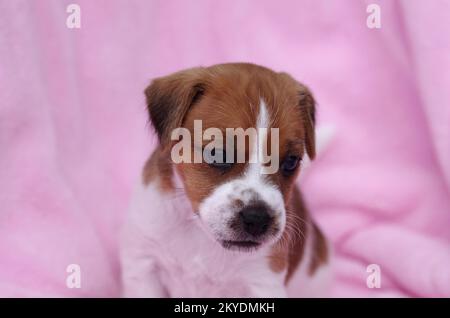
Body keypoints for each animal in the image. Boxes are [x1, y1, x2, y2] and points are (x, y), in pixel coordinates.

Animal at [119, 62, 330, 298]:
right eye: (217, 154)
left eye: (291, 162)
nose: (257, 218)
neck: (199, 233)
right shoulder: (143, 264)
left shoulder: (263, 282)